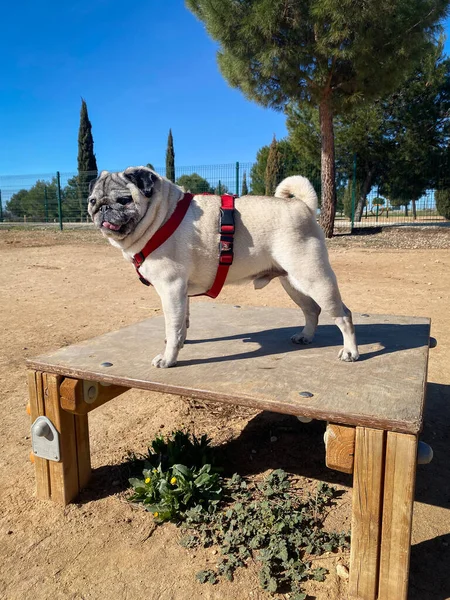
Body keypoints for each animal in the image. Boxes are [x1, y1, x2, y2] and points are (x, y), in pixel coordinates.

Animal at [89, 166, 360, 368]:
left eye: (124, 200)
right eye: (92, 201)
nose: (102, 207)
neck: (162, 215)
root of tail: (303, 206)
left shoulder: (171, 288)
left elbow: (173, 325)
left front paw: (168, 358)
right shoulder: (181, 293)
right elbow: (182, 323)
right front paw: (179, 344)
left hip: (314, 278)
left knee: (344, 315)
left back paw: (350, 352)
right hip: (293, 283)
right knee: (312, 310)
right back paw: (306, 336)